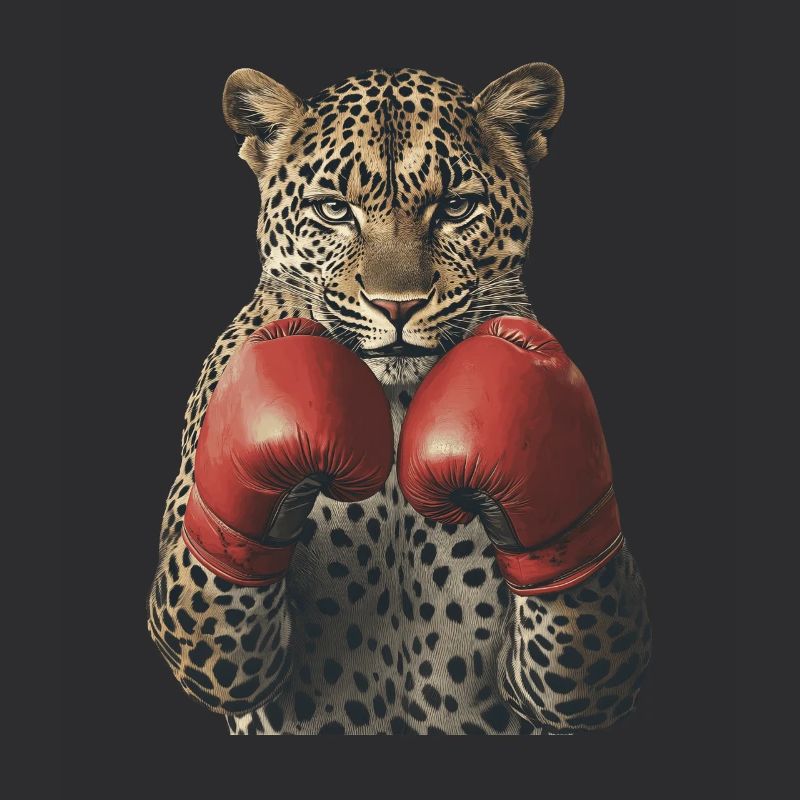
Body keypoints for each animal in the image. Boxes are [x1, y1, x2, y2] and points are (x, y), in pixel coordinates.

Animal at [147, 63, 653, 735]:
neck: (390, 408)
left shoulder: (563, 675)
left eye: (457, 207)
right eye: (334, 210)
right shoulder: (211, 635)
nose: (397, 306)